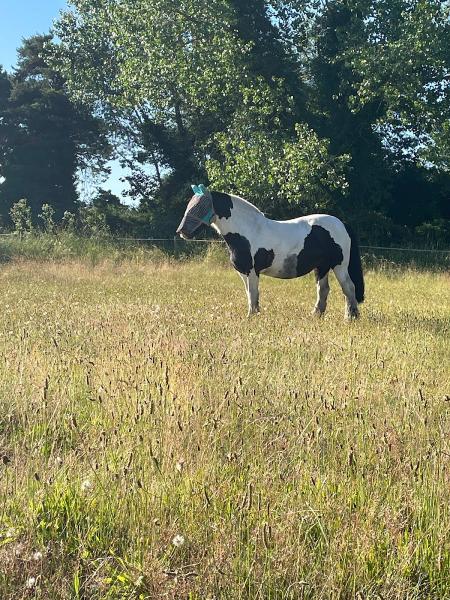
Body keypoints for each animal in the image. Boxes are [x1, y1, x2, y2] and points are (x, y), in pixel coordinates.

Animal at [177, 185, 366, 318]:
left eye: (200, 206)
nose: (182, 231)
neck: (247, 231)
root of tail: (342, 223)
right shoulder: (243, 273)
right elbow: (250, 294)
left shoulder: (252, 271)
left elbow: (253, 294)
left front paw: (252, 316)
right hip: (322, 267)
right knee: (323, 289)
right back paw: (316, 315)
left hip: (339, 266)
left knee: (349, 287)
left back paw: (350, 317)